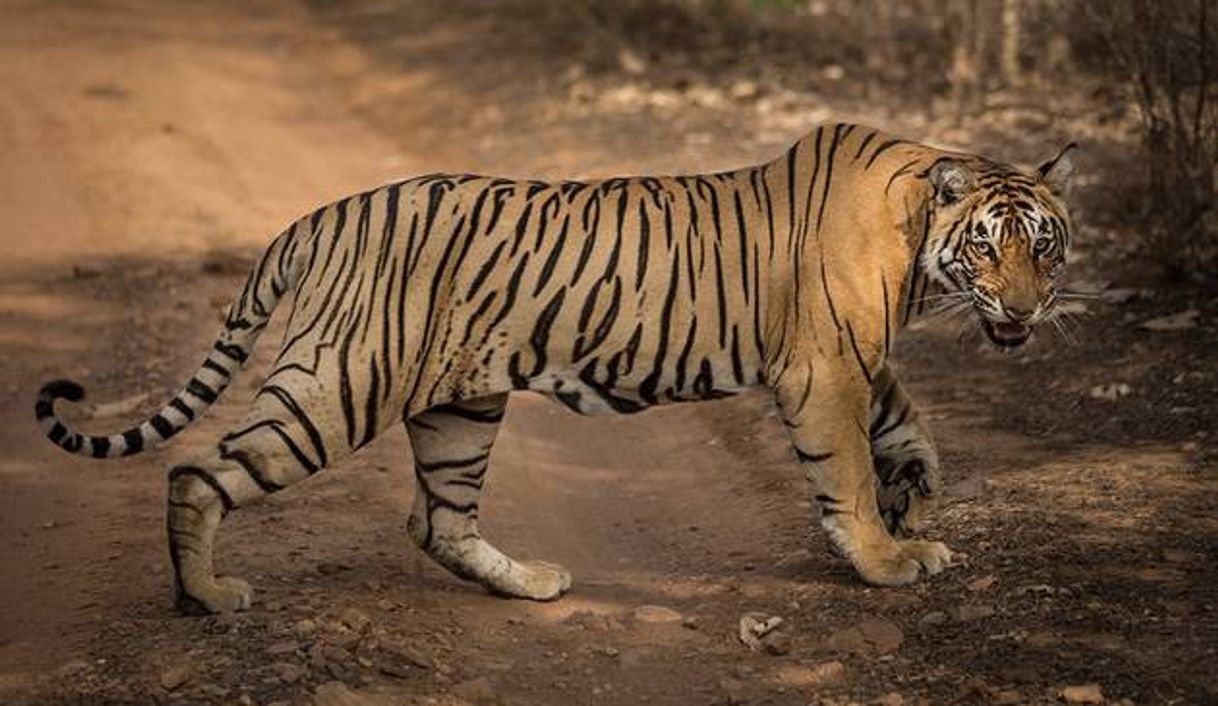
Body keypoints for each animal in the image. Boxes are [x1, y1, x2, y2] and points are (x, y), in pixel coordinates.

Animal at [33, 124, 1076, 615]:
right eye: (988, 247)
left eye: (1045, 246)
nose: (1026, 311)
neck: (920, 242)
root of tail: (318, 216)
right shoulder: (822, 369)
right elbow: (848, 472)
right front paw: (885, 558)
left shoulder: (854, 355)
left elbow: (908, 425)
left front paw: (919, 496)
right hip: (338, 385)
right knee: (197, 472)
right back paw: (204, 597)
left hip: (461, 405)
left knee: (437, 521)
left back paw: (530, 583)